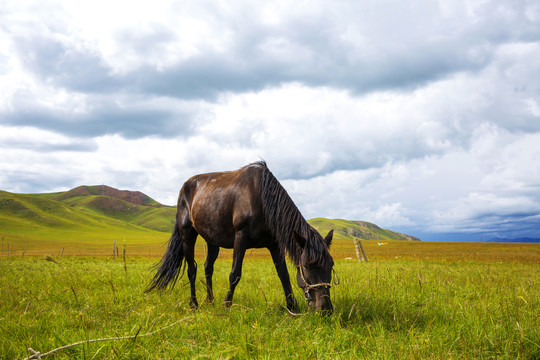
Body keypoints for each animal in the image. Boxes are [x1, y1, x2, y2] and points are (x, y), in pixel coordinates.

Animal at [146, 161, 336, 312]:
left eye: (331, 265)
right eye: (308, 266)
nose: (325, 308)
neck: (263, 200)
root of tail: (186, 185)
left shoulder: (275, 245)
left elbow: (283, 274)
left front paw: (292, 307)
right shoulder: (241, 238)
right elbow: (235, 274)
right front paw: (226, 304)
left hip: (212, 240)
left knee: (208, 268)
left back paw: (210, 300)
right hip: (187, 236)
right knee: (192, 270)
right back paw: (194, 304)